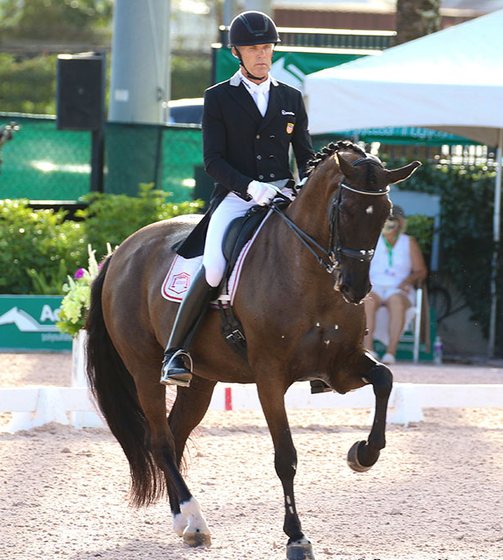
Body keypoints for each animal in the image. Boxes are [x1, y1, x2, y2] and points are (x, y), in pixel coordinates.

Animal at [85, 141, 422, 560]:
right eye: (344, 209)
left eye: (386, 212)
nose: (355, 287)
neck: (308, 273)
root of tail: (121, 251)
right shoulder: (270, 377)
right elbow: (286, 457)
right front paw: (296, 537)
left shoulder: (341, 366)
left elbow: (384, 379)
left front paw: (364, 453)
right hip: (145, 369)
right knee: (160, 441)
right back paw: (195, 520)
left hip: (202, 381)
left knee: (175, 436)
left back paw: (184, 521)